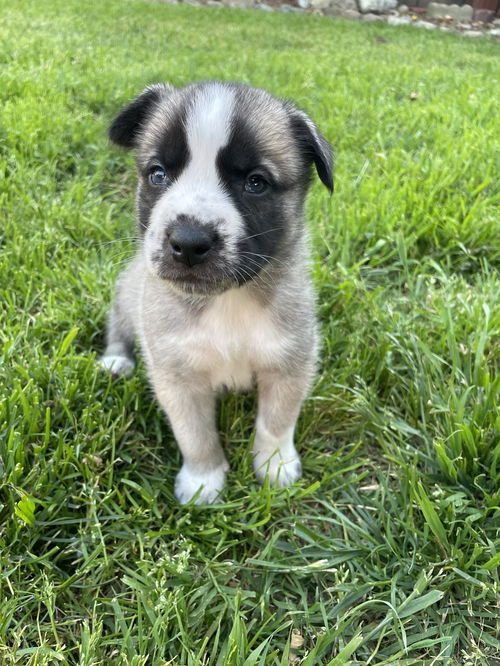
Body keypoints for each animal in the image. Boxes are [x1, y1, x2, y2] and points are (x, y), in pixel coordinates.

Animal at [100, 80, 334, 500]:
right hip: (127, 297)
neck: (227, 302)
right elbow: (195, 435)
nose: (188, 241)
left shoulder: (289, 363)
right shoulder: (177, 376)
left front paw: (275, 466)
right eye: (158, 174)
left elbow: (276, 422)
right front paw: (202, 480)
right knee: (118, 327)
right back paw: (117, 360)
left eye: (256, 183)